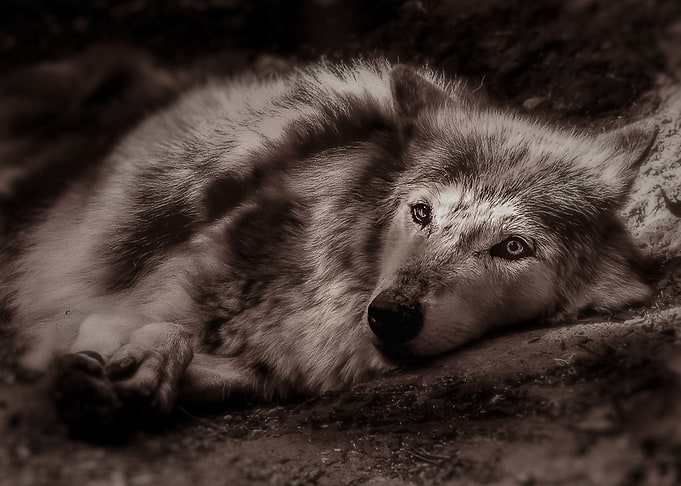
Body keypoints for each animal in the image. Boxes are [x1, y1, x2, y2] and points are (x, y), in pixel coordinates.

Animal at [0, 53, 656, 435]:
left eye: (513, 248)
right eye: (421, 212)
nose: (391, 315)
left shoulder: (280, 369)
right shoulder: (103, 299)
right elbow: (151, 326)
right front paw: (126, 368)